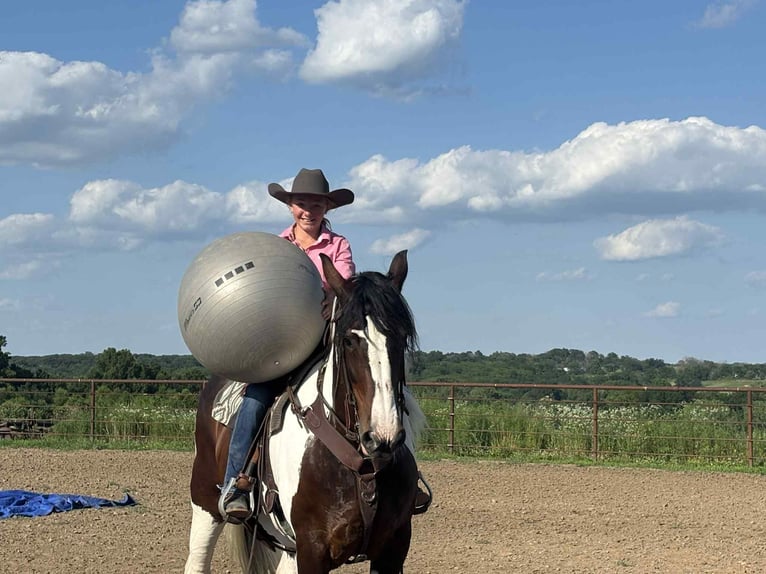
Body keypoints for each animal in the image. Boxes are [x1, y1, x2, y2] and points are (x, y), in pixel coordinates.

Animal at [184, 250, 427, 574]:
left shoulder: (393, 548)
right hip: (205, 505)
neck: (359, 466)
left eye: (402, 337)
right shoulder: (311, 549)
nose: (383, 437)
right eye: (348, 340)